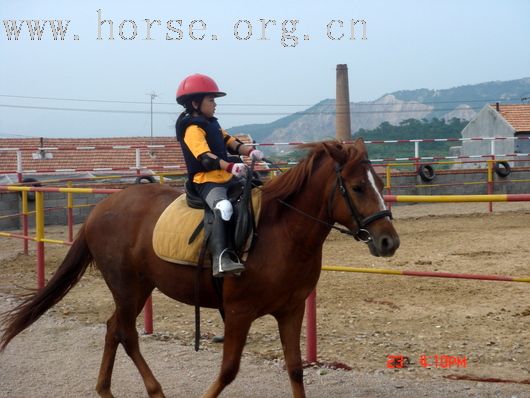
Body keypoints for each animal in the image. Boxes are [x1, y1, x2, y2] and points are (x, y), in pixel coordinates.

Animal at [0, 139, 396, 394]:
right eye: (358, 187)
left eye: (377, 182)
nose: (389, 241)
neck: (281, 231)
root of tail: (101, 209)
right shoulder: (238, 312)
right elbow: (228, 371)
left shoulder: (291, 309)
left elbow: (296, 369)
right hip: (126, 287)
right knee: (127, 334)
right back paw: (154, 390)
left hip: (139, 287)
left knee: (114, 329)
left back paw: (105, 390)